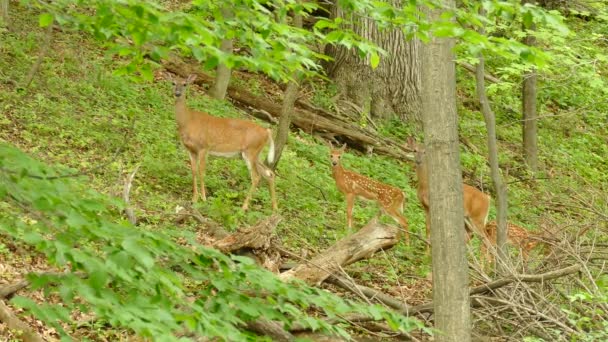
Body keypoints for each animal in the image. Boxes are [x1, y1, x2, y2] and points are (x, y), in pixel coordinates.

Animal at [169, 73, 278, 211]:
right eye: (173, 83)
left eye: (184, 84)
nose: (177, 93)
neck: (188, 121)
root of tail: (267, 131)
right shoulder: (190, 149)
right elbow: (193, 170)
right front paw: (194, 198)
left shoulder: (204, 147)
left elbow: (201, 171)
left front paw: (203, 198)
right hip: (254, 154)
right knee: (269, 173)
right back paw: (274, 208)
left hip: (251, 151)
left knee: (256, 176)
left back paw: (244, 207)